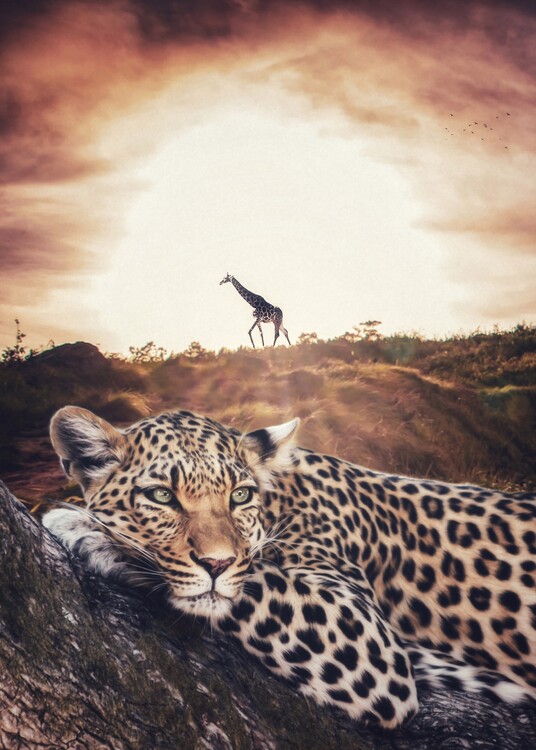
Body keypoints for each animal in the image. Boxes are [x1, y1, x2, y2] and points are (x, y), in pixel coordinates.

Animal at [42, 405, 536, 729]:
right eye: (162, 496)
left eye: (240, 495)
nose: (217, 563)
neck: (279, 502)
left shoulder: (369, 642)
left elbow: (251, 581)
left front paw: (87, 528)